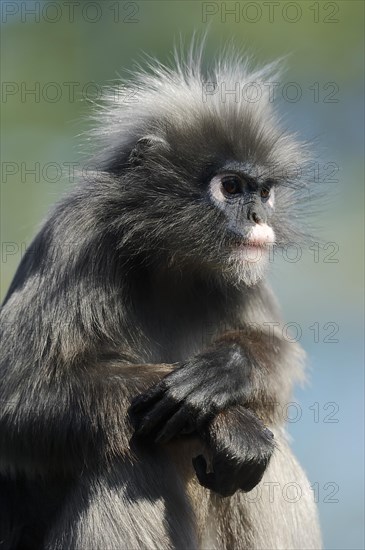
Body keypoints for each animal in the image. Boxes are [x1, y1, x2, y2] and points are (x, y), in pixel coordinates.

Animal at [0, 46, 320, 550]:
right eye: (231, 187)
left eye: (264, 192)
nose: (257, 216)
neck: (171, 262)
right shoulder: (76, 235)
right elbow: (17, 397)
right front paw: (226, 421)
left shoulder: (245, 274)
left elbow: (280, 362)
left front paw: (227, 369)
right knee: (126, 454)